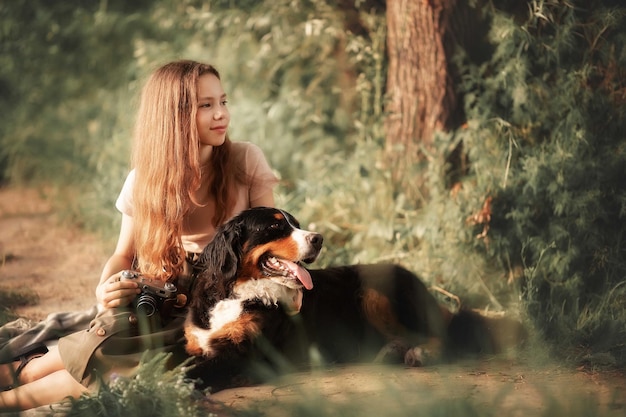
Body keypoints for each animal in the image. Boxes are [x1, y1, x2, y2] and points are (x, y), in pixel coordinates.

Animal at [184, 207, 520, 390]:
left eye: (296, 224)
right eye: (275, 225)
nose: (318, 238)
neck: (236, 293)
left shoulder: (249, 354)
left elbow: (197, 371)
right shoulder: (197, 342)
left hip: (375, 294)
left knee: (446, 336)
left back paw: (421, 352)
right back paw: (390, 352)